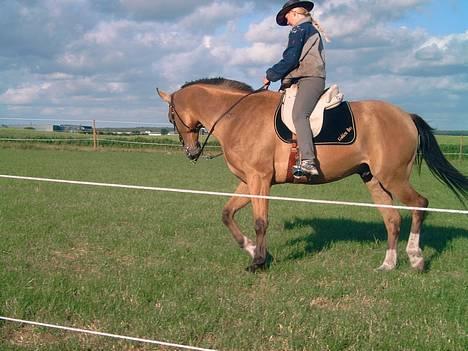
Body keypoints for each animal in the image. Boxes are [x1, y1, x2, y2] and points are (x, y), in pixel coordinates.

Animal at [157, 78, 468, 274]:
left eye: (171, 116)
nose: (191, 152)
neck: (238, 116)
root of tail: (405, 116)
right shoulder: (248, 181)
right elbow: (227, 214)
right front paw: (253, 250)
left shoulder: (259, 180)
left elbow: (260, 222)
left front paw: (258, 262)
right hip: (374, 179)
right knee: (392, 219)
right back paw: (388, 265)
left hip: (394, 177)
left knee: (419, 204)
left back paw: (416, 258)